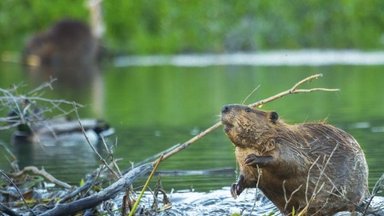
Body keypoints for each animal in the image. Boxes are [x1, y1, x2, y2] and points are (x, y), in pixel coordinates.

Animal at [220, 104, 370, 215]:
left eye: (248, 109)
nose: (225, 107)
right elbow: (248, 177)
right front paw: (234, 188)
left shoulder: (289, 145)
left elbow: (288, 162)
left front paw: (253, 158)